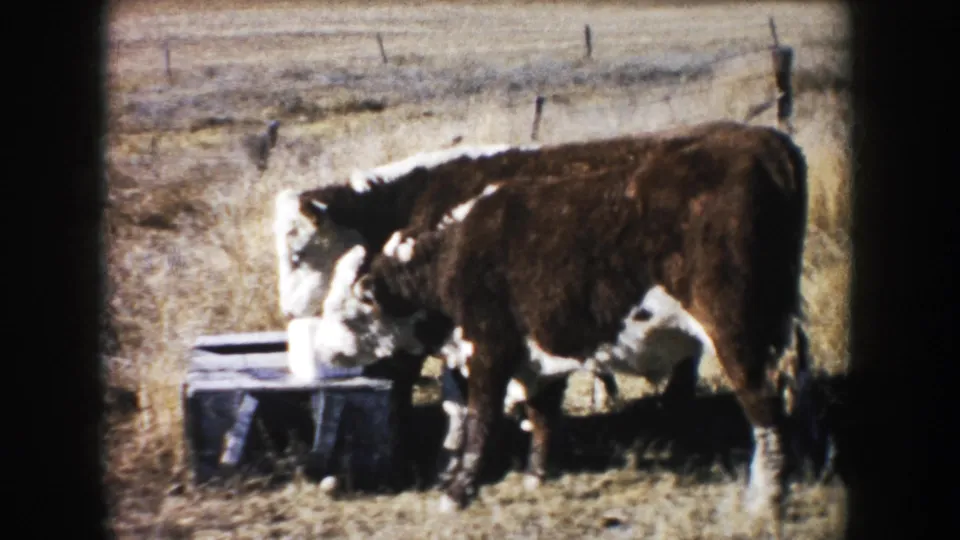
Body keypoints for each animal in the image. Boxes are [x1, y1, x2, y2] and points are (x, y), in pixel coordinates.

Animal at [291, 120, 824, 539]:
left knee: (764, 408)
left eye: (349, 313)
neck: (455, 252)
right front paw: (535, 476)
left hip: (739, 335)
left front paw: (458, 491)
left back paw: (765, 500)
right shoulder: (536, 359)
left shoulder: (489, 350)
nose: (325, 351)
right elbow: (542, 416)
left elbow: (479, 422)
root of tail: (770, 144)